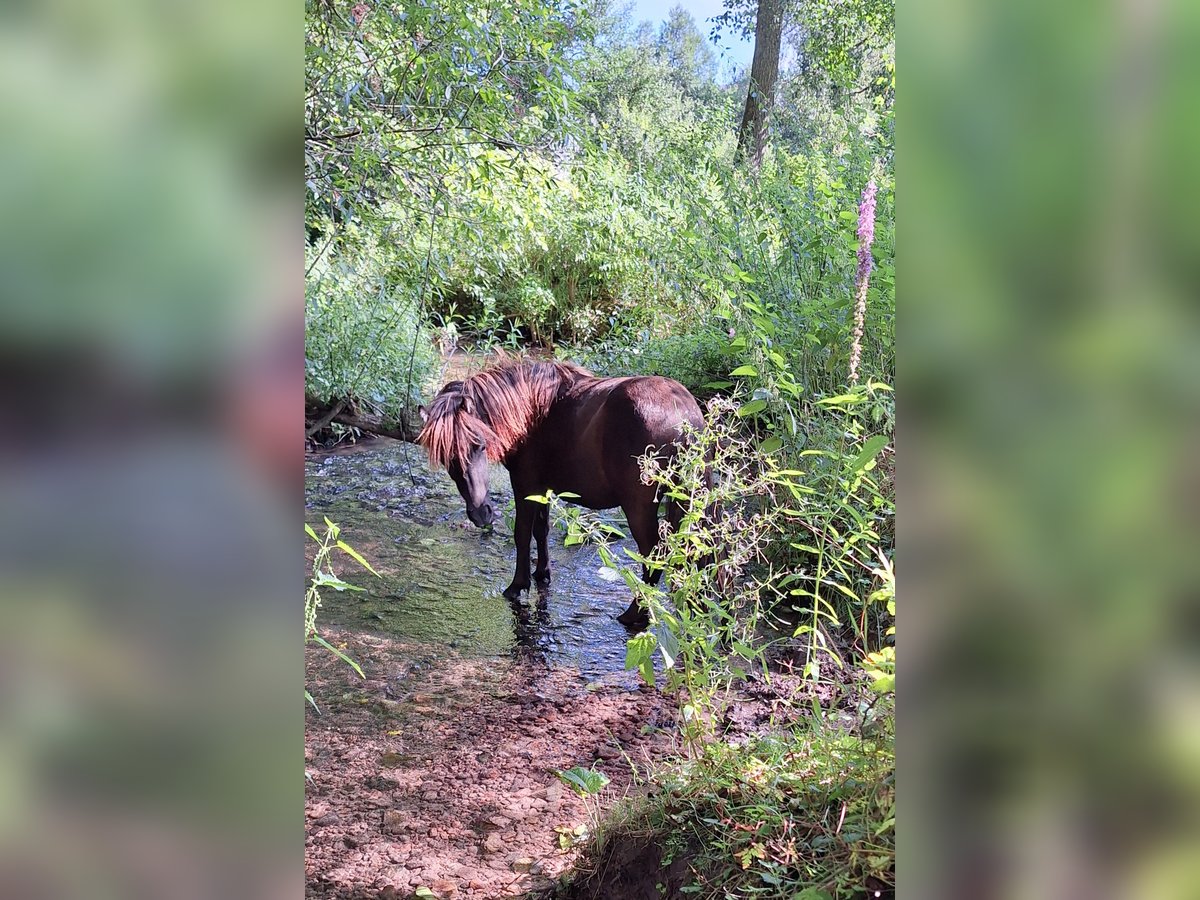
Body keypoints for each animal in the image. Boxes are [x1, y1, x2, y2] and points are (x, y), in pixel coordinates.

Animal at [420, 357, 705, 628]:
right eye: (446, 457)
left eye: (478, 445)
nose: (480, 514)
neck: (533, 414)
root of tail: (684, 416)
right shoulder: (542, 489)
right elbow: (541, 530)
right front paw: (542, 574)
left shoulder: (524, 485)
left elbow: (522, 534)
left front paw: (517, 585)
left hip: (639, 507)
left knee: (654, 553)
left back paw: (637, 613)